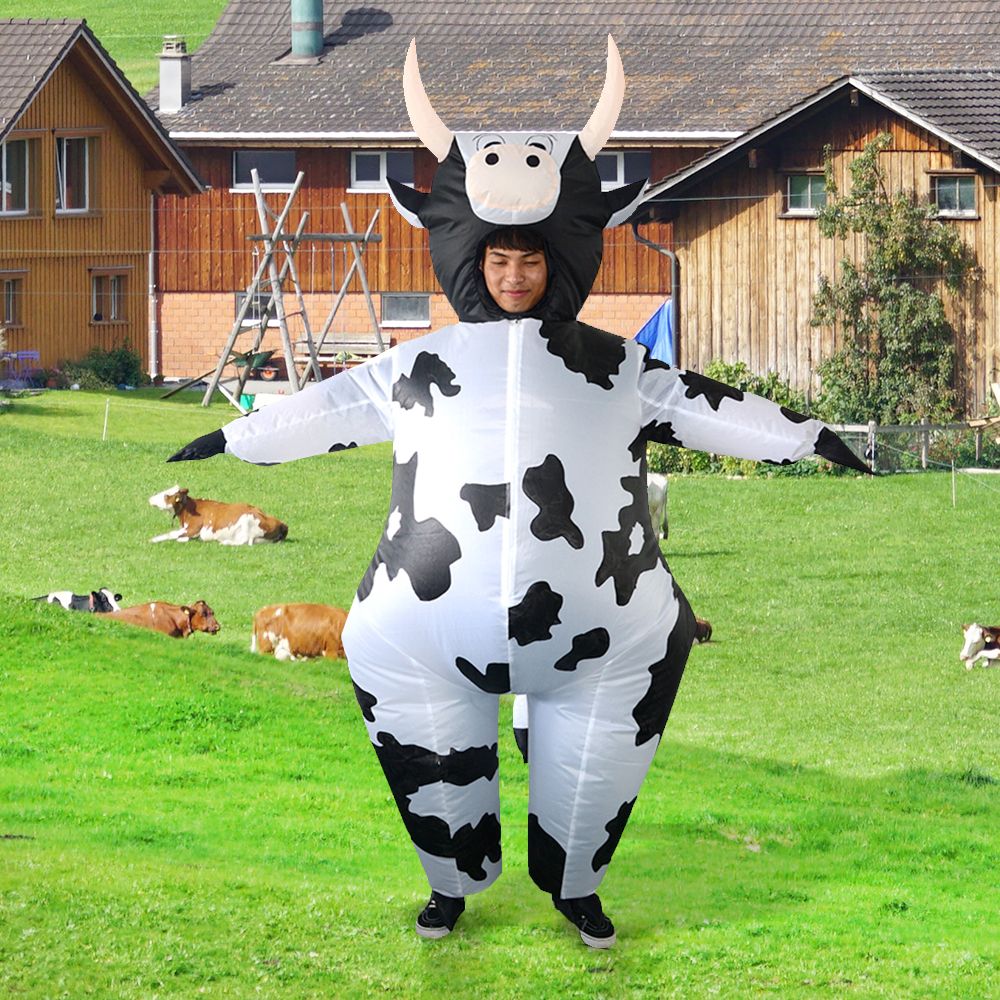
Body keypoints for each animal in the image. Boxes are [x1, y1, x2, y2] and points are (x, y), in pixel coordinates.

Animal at [148, 486, 287, 545]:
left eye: (166, 495)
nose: (150, 498)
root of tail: (282, 524)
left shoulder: (193, 528)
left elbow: (171, 534)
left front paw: (153, 540)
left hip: (247, 520)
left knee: (244, 541)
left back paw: (225, 542)